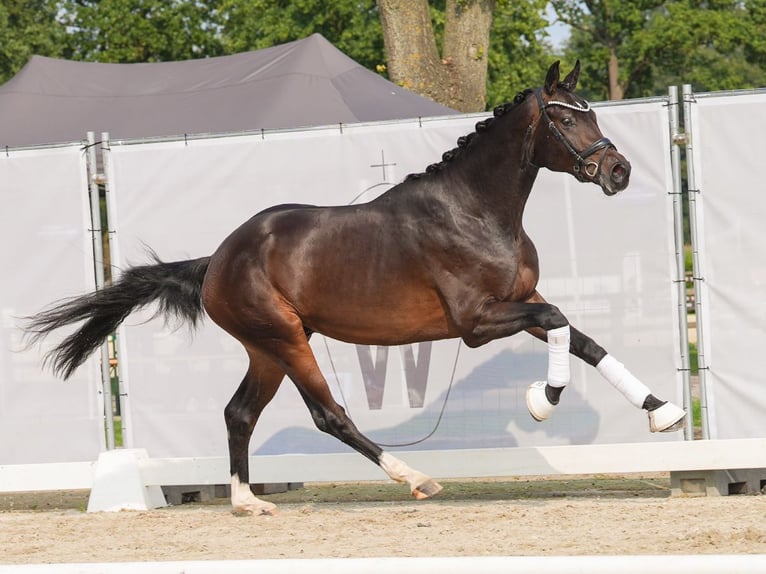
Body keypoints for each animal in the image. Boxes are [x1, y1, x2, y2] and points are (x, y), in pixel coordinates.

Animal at [24, 63, 688, 516]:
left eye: (592, 111)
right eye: (567, 116)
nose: (620, 171)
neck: (474, 210)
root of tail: (218, 259)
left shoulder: (517, 304)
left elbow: (583, 338)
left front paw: (664, 413)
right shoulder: (477, 321)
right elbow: (557, 325)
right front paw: (542, 400)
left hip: (267, 348)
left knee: (239, 413)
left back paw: (248, 502)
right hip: (287, 341)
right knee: (329, 415)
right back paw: (415, 478)